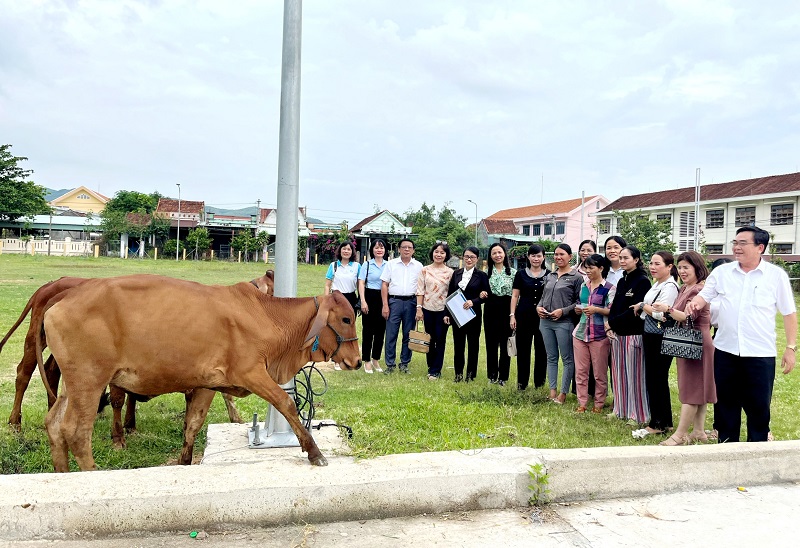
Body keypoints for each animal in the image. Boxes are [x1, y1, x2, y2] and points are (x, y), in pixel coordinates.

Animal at [39, 274, 360, 470]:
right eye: (346, 318)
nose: (357, 361)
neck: (268, 316)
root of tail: (60, 303)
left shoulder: (208, 384)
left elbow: (193, 424)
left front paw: (184, 463)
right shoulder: (252, 373)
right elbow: (287, 404)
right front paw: (314, 452)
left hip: (73, 385)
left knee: (54, 425)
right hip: (90, 382)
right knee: (76, 432)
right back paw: (91, 471)